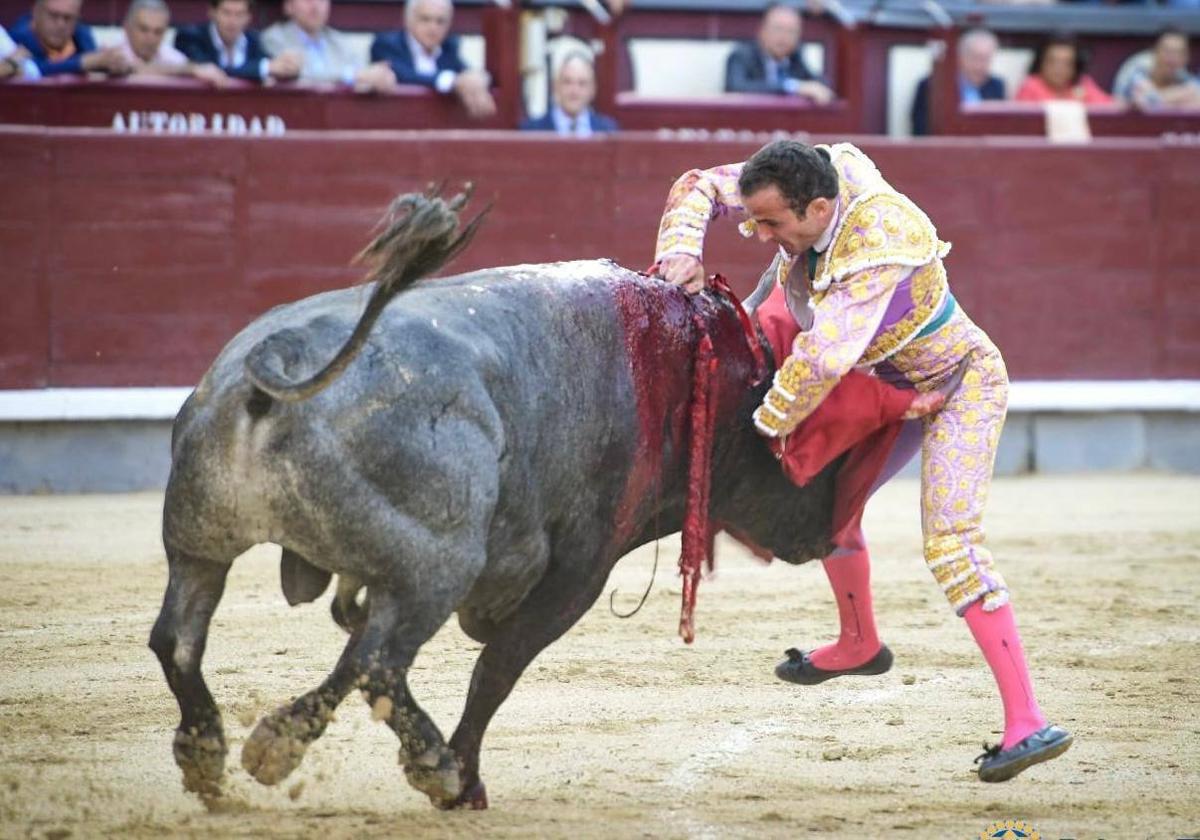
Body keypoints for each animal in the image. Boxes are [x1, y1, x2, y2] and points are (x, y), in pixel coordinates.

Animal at [150, 188, 840, 806]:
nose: (826, 535)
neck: (689, 362)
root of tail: (278, 357)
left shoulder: (385, 578)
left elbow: (356, 645)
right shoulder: (580, 570)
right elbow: (497, 667)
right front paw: (461, 776)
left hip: (200, 541)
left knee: (182, 640)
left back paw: (207, 756)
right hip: (440, 563)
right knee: (380, 661)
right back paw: (425, 765)